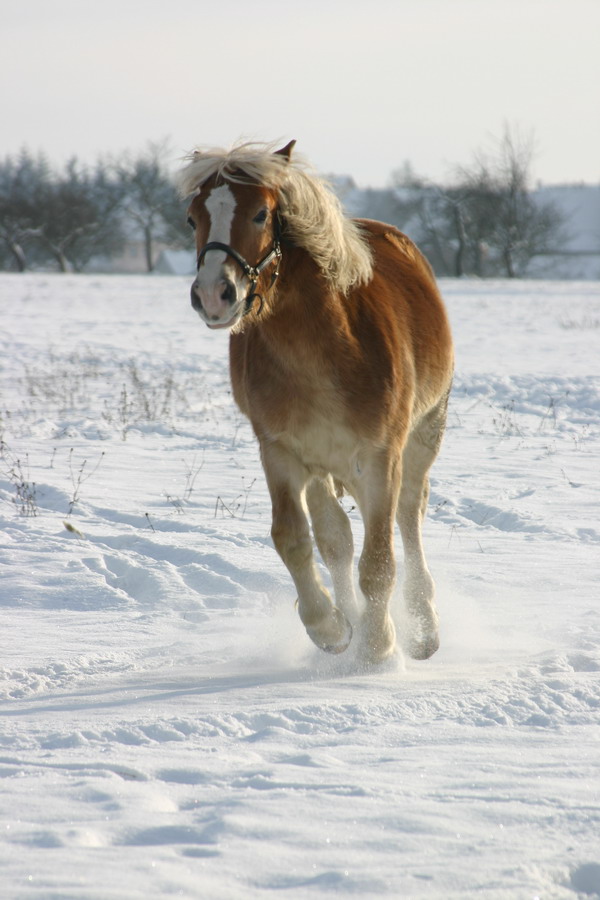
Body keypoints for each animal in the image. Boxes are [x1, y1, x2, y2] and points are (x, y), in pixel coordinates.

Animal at [179, 139, 454, 660]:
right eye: (191, 218)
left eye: (261, 213)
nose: (213, 295)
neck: (325, 348)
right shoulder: (280, 451)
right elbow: (294, 539)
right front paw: (332, 629)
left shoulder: (381, 455)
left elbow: (380, 559)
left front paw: (377, 646)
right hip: (324, 465)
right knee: (337, 538)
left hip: (423, 435)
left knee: (408, 516)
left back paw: (424, 627)